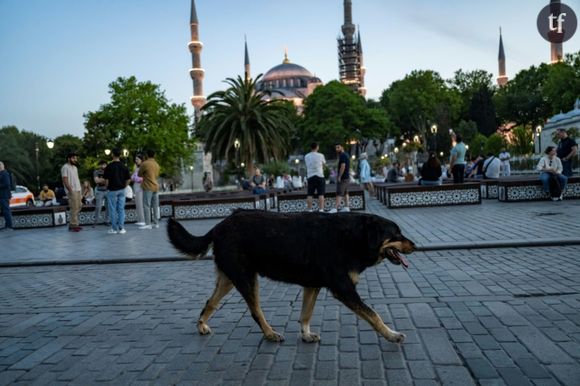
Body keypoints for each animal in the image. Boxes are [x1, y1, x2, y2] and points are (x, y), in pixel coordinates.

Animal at [168, 211, 416, 344]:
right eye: (396, 234)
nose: (415, 245)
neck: (353, 236)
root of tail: (218, 226)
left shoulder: (312, 285)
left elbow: (305, 314)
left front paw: (305, 335)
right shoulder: (344, 289)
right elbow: (374, 315)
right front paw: (392, 335)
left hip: (229, 279)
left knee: (210, 303)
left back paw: (202, 326)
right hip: (246, 279)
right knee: (255, 311)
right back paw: (270, 333)